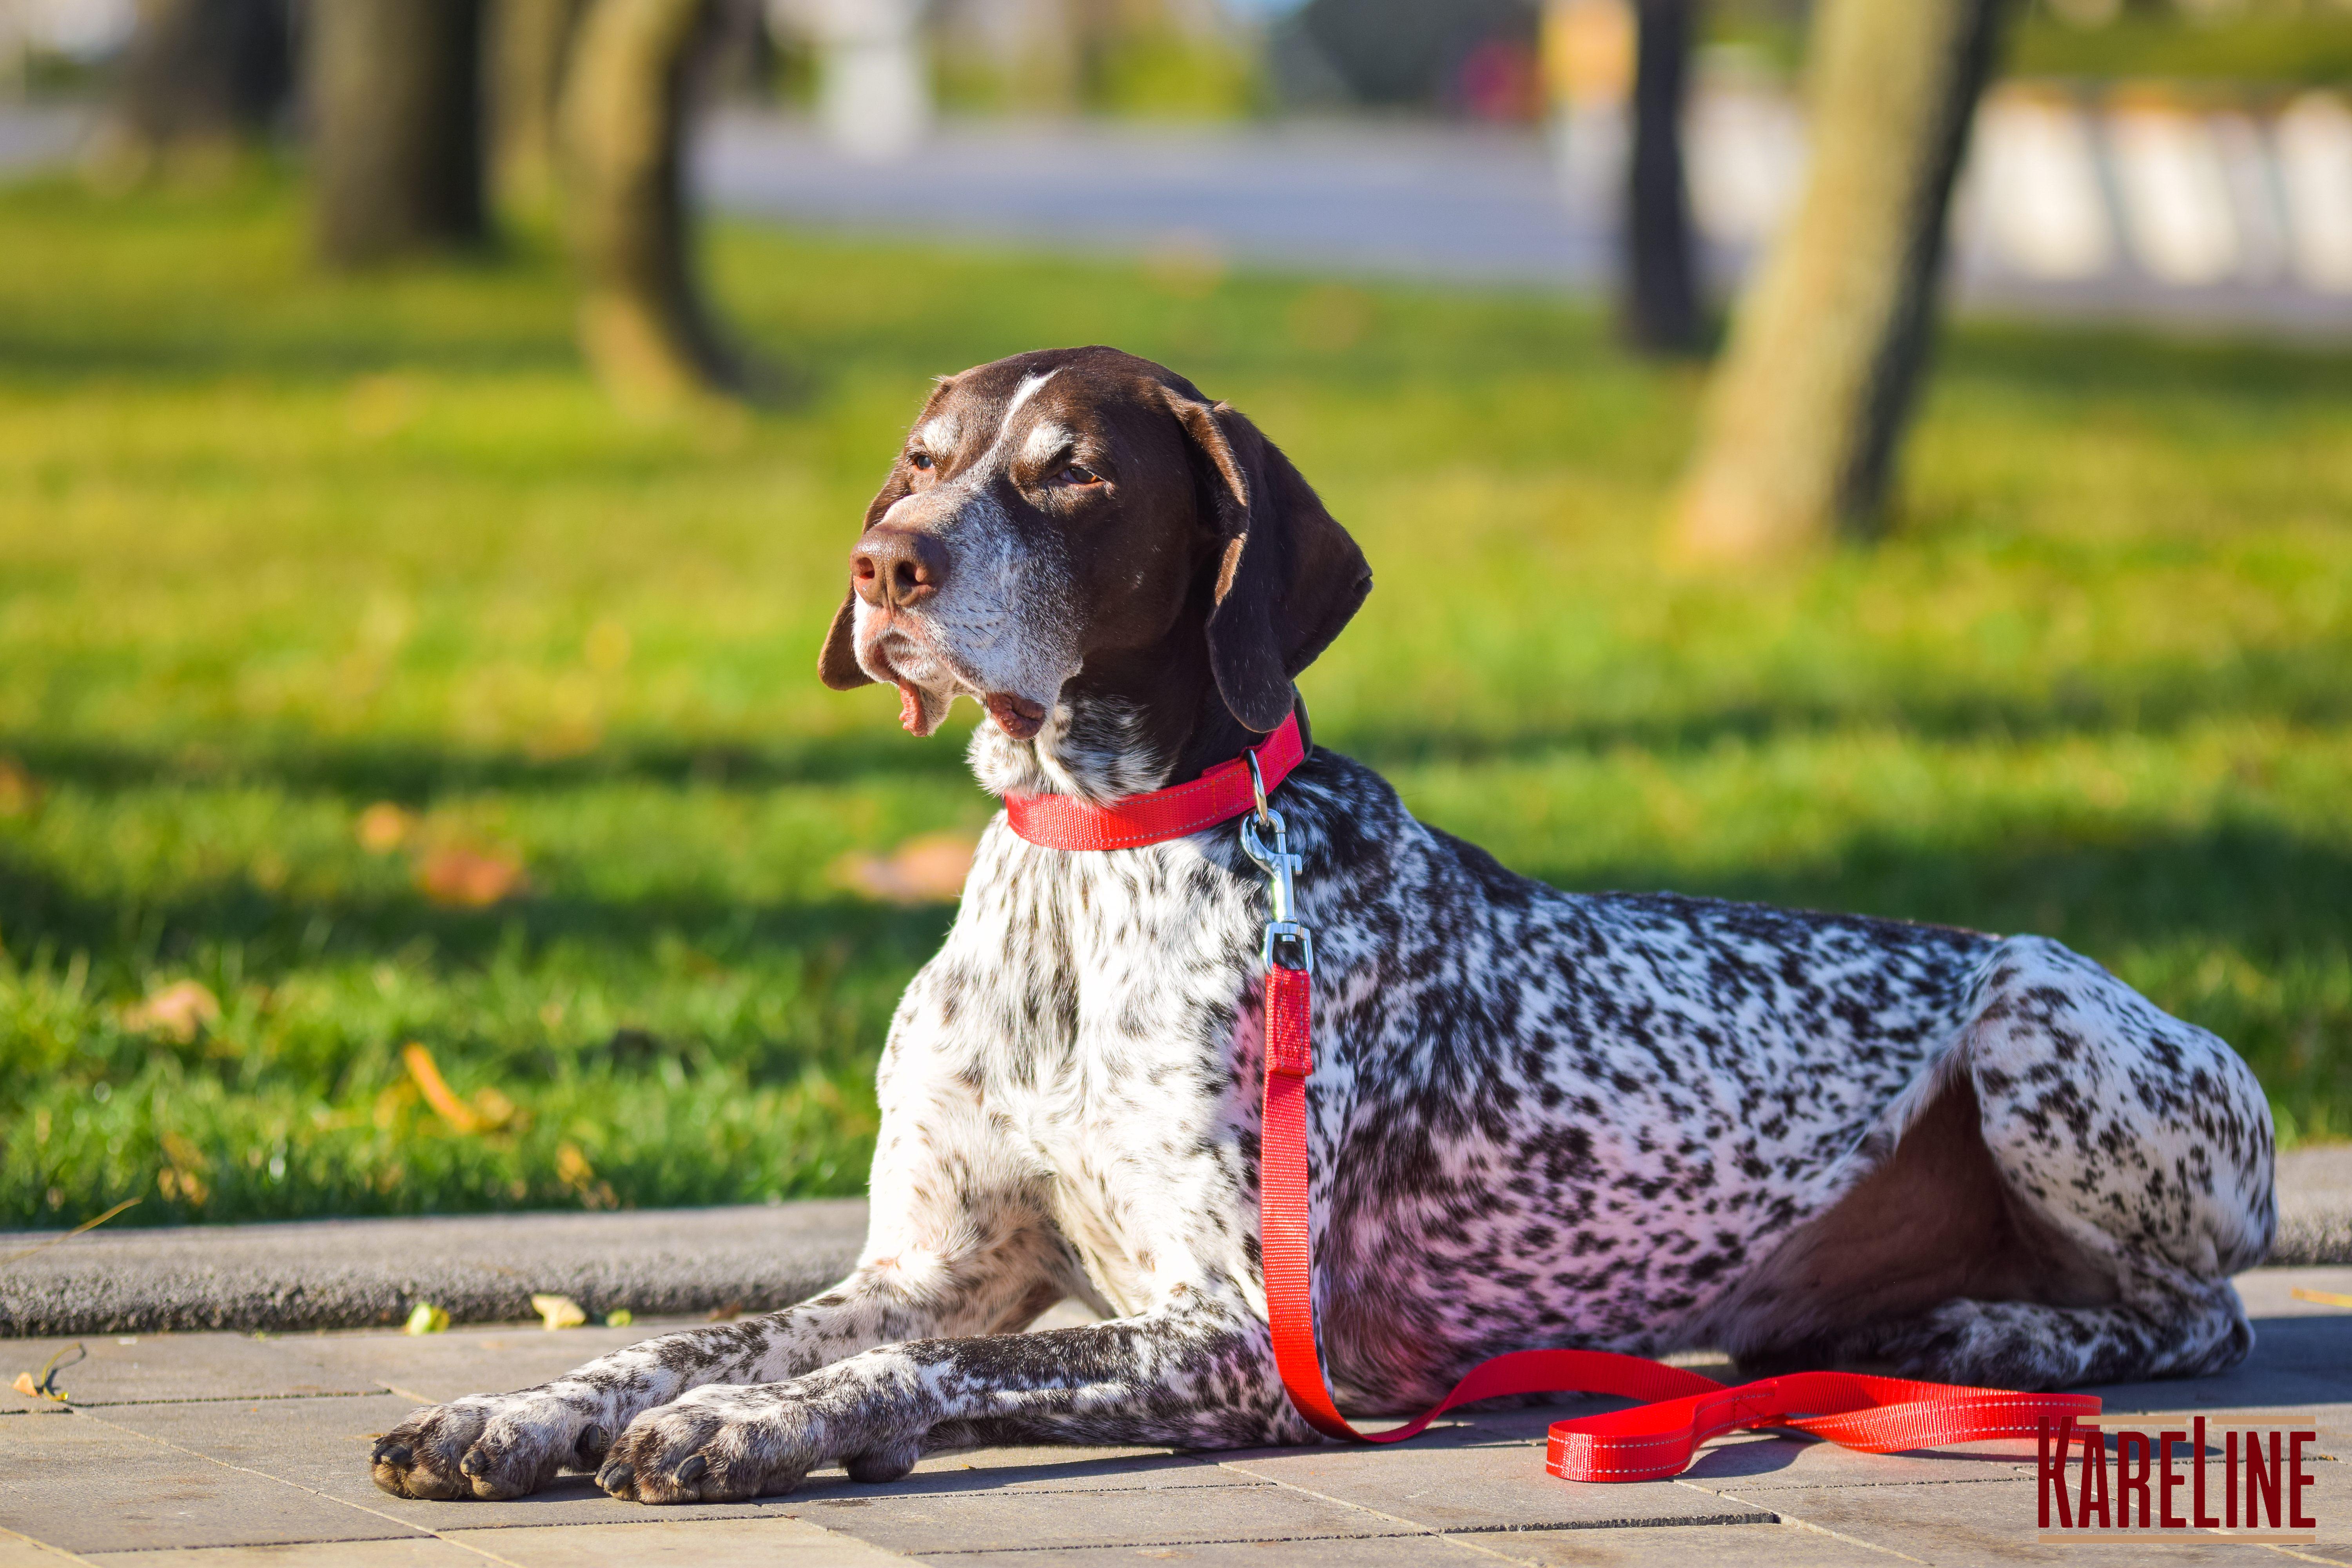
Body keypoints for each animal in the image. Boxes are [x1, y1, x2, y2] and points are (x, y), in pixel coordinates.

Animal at [367, 345, 2277, 1504]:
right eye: (920, 459)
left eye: (1071, 474)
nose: (885, 563)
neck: (1091, 864)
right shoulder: (924, 1255)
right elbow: (695, 1333)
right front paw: (520, 1405)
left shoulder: (1232, 1336)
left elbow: (922, 1365)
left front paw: (751, 1423)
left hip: (2036, 1020)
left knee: (2192, 1315)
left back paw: (1990, 1337)